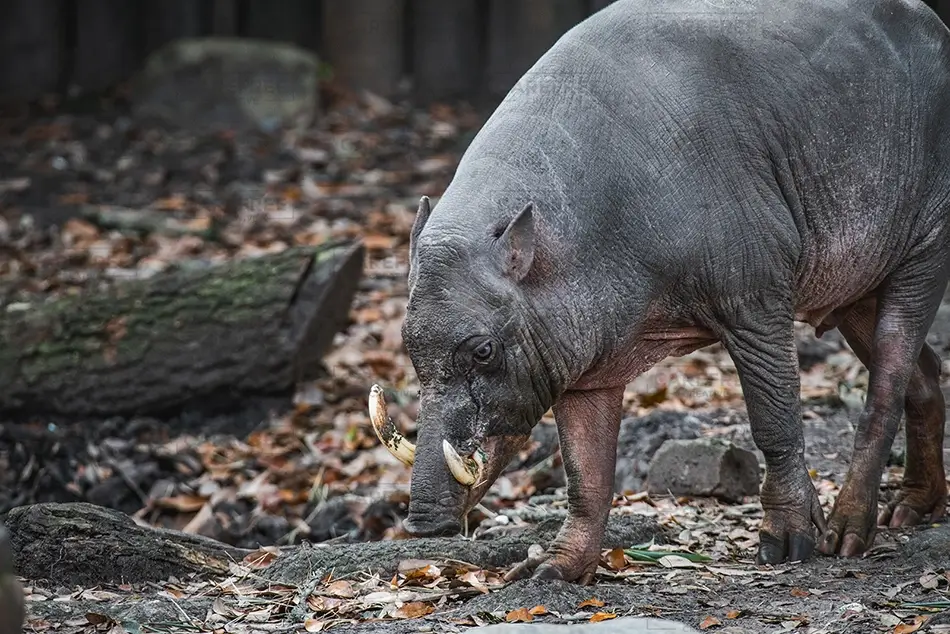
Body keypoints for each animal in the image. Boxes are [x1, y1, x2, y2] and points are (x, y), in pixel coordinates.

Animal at [369, 0, 950, 584]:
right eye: (409, 345)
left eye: (484, 350)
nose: (421, 522)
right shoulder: (582, 364)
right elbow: (585, 472)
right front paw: (553, 569)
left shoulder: (755, 300)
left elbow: (775, 419)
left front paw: (786, 542)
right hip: (856, 289)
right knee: (923, 374)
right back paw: (914, 508)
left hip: (927, 246)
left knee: (887, 385)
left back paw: (848, 532)